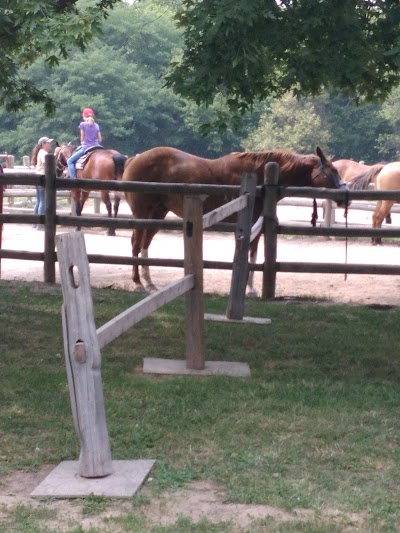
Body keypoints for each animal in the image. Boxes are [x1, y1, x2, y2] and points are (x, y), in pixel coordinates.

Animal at [122, 145, 346, 294]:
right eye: (333, 171)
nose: (345, 196)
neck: (259, 177)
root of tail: (135, 159)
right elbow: (248, 255)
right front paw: (249, 289)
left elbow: (253, 256)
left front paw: (250, 287)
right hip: (142, 214)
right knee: (136, 243)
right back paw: (138, 283)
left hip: (157, 214)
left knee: (145, 244)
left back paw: (149, 283)